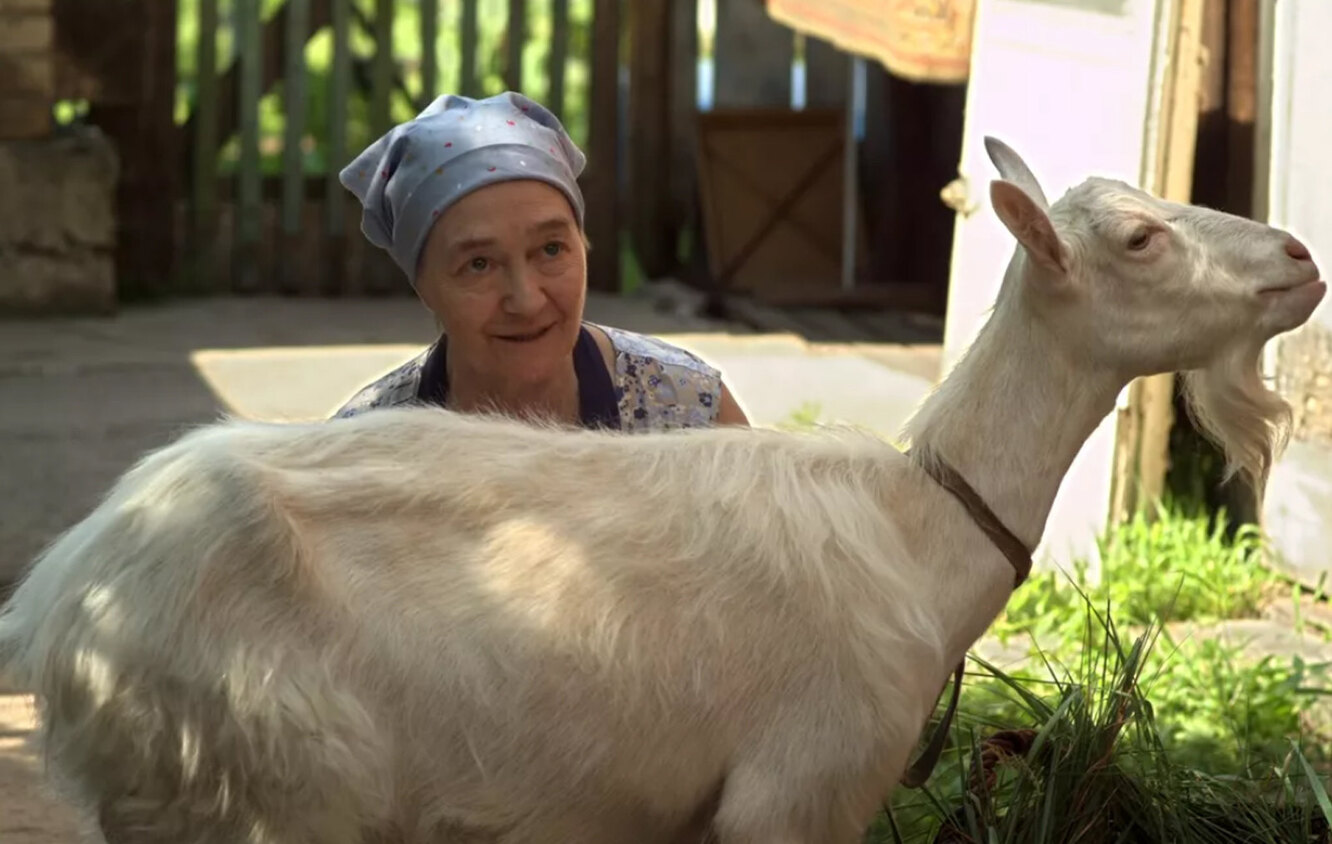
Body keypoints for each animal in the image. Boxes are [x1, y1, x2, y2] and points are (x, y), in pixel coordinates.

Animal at [0, 134, 1321, 836]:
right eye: (1141, 239)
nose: (1301, 259)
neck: (913, 532)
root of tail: (63, 594)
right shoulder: (800, 784)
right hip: (257, 790)